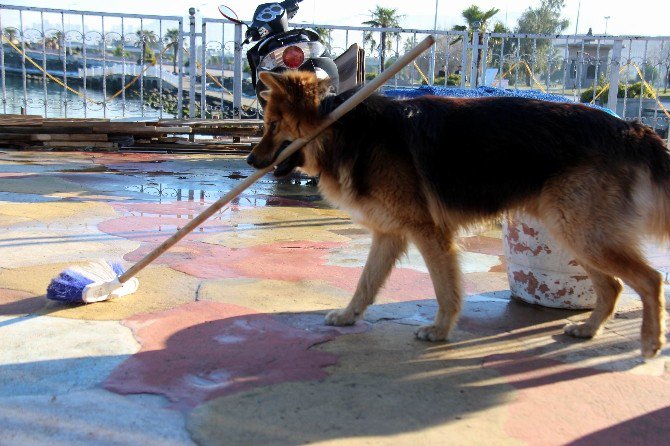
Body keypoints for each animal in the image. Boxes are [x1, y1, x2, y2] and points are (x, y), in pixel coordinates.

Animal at [248, 72, 670, 358]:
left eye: (272, 125)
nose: (250, 161)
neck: (341, 127)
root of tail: (631, 128)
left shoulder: (430, 233)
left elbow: (444, 288)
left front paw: (439, 330)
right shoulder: (389, 235)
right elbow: (365, 283)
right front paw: (349, 316)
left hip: (582, 233)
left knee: (650, 280)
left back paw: (650, 343)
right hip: (574, 233)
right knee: (613, 286)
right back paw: (589, 329)